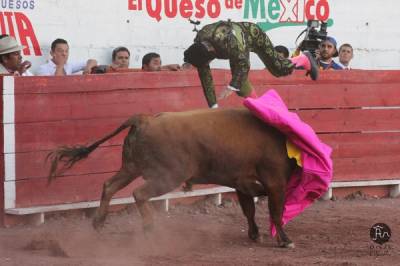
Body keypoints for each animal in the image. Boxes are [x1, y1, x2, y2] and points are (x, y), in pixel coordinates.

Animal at [47, 107, 296, 247]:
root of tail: (145, 119)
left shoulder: (243, 184)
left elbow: (249, 211)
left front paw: (255, 235)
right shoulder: (275, 182)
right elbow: (276, 212)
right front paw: (285, 240)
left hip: (131, 167)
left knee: (109, 186)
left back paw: (99, 222)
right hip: (168, 176)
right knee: (139, 193)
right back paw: (149, 229)